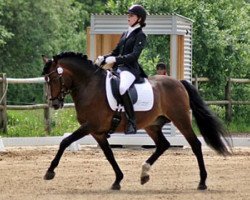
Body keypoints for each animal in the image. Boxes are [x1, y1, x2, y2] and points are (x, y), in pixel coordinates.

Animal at [42, 51, 231, 191]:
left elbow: (65, 142)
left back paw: (202, 182)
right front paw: (117, 180)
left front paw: (50, 172)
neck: (90, 86)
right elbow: (109, 154)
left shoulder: (90, 126)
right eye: (46, 80)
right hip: (152, 125)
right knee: (163, 145)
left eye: (54, 78)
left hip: (180, 119)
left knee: (195, 145)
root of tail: (178, 82)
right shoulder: (97, 132)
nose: (55, 103)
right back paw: (144, 174)